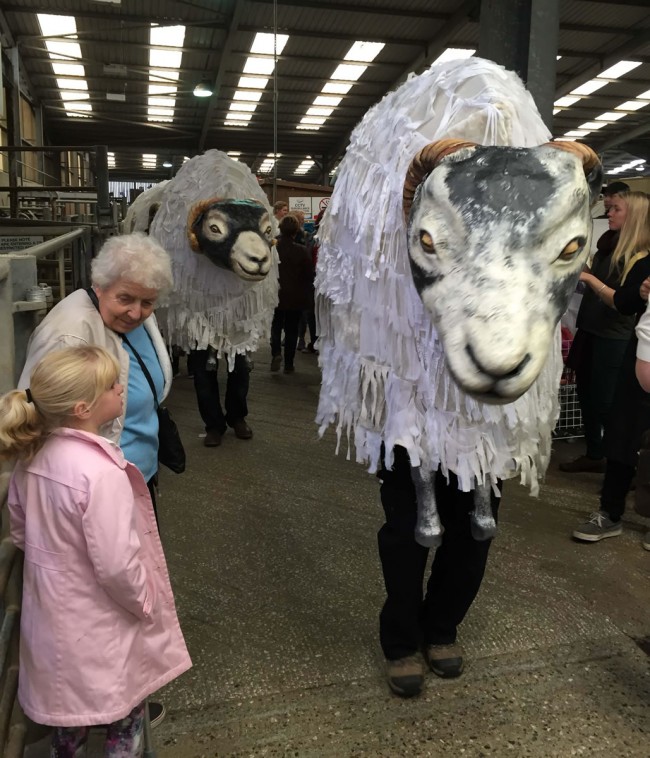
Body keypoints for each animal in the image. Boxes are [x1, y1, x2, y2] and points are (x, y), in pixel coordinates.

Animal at [315, 57, 601, 546]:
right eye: (427, 240)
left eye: (573, 247)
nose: (497, 365)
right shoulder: (407, 375)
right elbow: (419, 453)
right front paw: (429, 527)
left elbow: (483, 451)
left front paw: (482, 519)